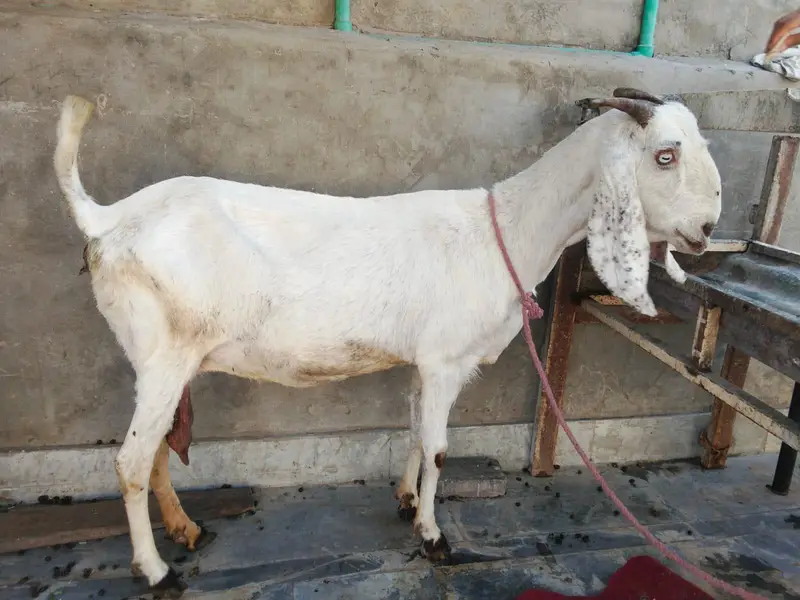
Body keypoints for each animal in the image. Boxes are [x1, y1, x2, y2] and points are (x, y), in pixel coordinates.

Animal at [53, 88, 721, 596]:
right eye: (665, 156)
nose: (707, 228)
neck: (505, 230)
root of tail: (107, 219)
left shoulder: (423, 362)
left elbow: (415, 432)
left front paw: (404, 500)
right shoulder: (447, 360)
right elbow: (441, 449)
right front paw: (433, 536)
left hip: (165, 360)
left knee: (157, 450)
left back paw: (186, 532)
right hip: (164, 356)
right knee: (130, 461)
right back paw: (156, 571)